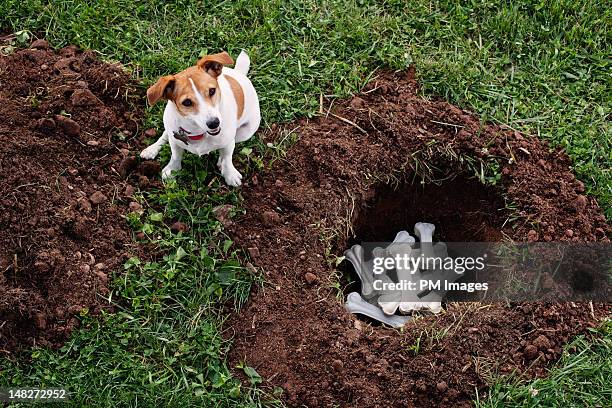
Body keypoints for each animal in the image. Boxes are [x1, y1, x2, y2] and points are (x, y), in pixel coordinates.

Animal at [140, 50, 260, 186]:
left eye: (212, 91)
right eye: (187, 102)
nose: (214, 123)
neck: (198, 132)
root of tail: (239, 73)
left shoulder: (229, 142)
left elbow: (227, 158)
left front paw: (230, 174)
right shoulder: (175, 139)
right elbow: (175, 155)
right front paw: (172, 169)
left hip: (245, 132)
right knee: (165, 134)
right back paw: (152, 149)